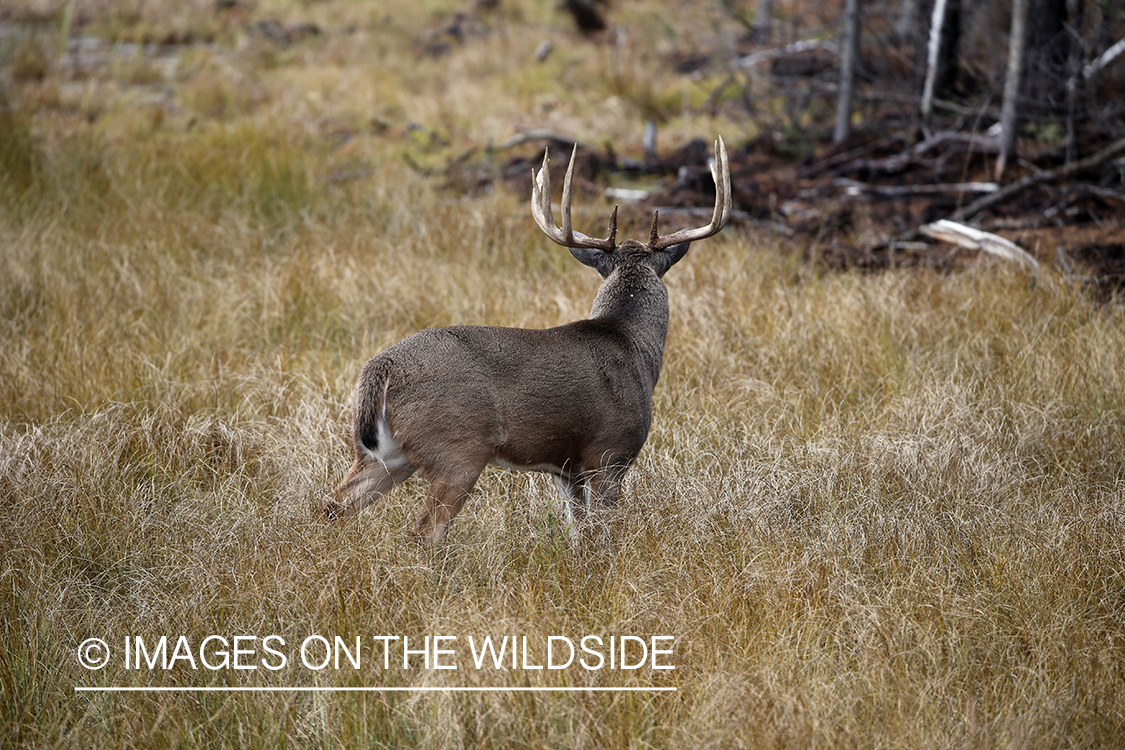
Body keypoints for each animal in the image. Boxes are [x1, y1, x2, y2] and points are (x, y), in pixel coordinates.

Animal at [321, 136, 733, 546]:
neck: (633, 346)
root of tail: (382, 367)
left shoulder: (566, 468)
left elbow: (577, 532)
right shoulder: (609, 452)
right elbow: (601, 534)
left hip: (387, 454)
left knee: (334, 504)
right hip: (456, 449)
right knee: (426, 529)